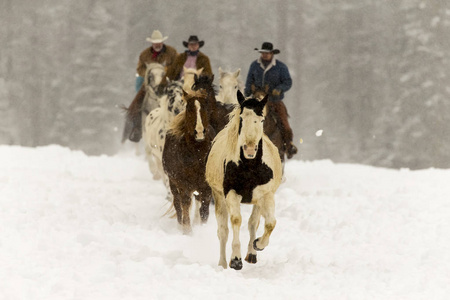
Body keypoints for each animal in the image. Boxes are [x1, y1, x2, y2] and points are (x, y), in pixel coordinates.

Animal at [162, 89, 214, 234]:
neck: (197, 154)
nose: (200, 132)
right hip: (173, 184)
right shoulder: (183, 185)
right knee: (178, 203)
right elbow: (184, 205)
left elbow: (204, 210)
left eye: (205, 108)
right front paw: (187, 231)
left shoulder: (206, 187)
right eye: (189, 109)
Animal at [207, 90, 284, 270]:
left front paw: (258, 245)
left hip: (257, 202)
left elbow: (270, 223)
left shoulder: (266, 195)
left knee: (253, 223)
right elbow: (236, 220)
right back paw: (222, 263)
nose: (249, 148)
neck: (249, 168)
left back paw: (252, 253)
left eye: (261, 119)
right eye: (242, 118)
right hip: (218, 197)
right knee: (223, 231)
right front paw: (235, 259)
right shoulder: (231, 193)